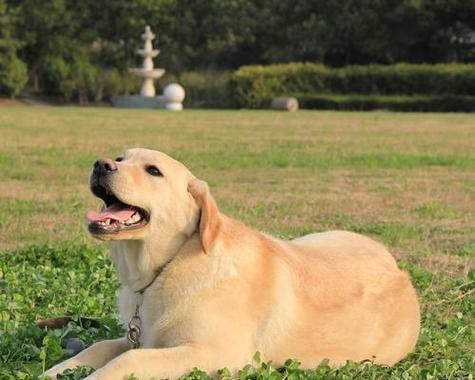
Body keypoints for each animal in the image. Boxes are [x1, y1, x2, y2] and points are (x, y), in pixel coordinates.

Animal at [43, 148, 420, 380]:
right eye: (121, 157)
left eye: (153, 171)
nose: (101, 163)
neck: (169, 264)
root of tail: (400, 270)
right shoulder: (142, 336)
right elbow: (103, 345)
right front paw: (57, 370)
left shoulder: (216, 354)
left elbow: (129, 358)